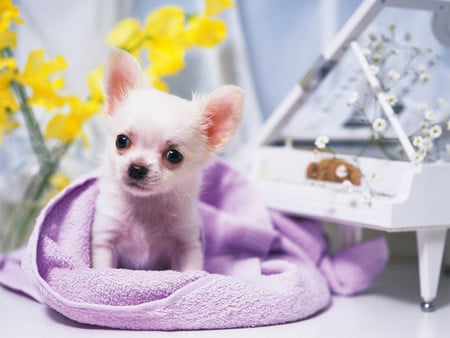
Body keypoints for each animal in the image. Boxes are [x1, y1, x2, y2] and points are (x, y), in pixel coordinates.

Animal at [90, 49, 243, 272]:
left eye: (173, 155)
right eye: (121, 141)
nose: (137, 168)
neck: (146, 206)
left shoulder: (187, 243)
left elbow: (190, 270)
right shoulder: (105, 240)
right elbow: (104, 269)